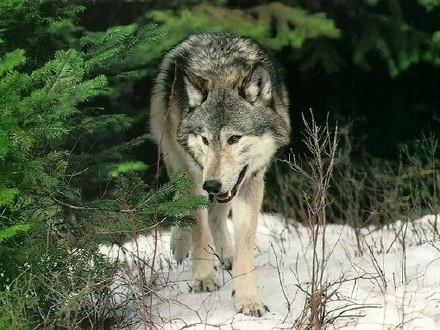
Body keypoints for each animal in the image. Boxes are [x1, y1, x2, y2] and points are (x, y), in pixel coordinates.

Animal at [150, 31, 290, 318]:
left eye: (234, 138)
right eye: (205, 139)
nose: (212, 185)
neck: (222, 70)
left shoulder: (250, 182)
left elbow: (245, 244)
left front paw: (248, 299)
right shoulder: (195, 177)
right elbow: (199, 229)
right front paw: (203, 277)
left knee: (216, 216)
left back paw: (227, 254)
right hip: (175, 158)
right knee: (184, 205)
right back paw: (180, 244)